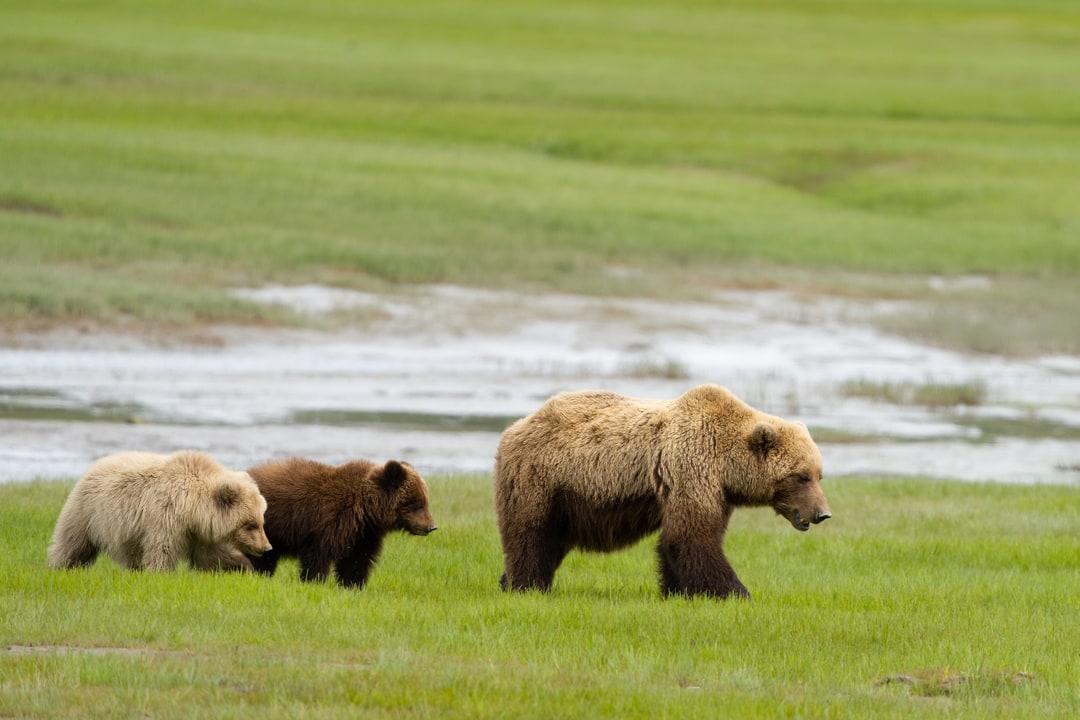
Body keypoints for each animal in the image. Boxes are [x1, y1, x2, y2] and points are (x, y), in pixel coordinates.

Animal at [48, 450, 272, 572]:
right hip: (87, 511)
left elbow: (212, 556)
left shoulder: (201, 532)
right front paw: (159, 574)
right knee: (73, 543)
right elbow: (161, 549)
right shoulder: (165, 517)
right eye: (250, 524)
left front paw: (242, 567)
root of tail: (97, 464)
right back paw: (62, 566)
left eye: (261, 522)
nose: (266, 547)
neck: (192, 508)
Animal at [245, 457, 437, 589]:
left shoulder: (364, 535)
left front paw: (352, 585)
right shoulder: (329, 523)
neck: (365, 511)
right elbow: (318, 556)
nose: (431, 526)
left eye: (426, 501)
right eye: (417, 504)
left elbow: (357, 560)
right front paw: (314, 581)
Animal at [493, 384, 831, 599]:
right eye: (801, 476)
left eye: (819, 474)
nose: (822, 513)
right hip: (540, 478)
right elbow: (691, 536)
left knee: (552, 540)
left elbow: (682, 538)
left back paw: (507, 581)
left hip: (568, 501)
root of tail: (516, 426)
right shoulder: (691, 467)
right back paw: (527, 585)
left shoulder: (716, 492)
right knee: (531, 533)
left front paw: (678, 590)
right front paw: (736, 592)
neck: (726, 465)